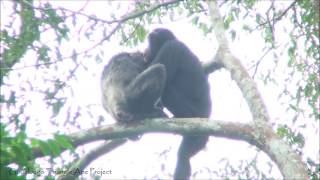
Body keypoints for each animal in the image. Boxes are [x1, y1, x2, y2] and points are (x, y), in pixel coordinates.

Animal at [144, 28, 210, 180]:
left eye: (150, 42)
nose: (146, 49)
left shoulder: (171, 48)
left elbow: (157, 70)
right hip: (199, 139)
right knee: (186, 155)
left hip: (193, 116)